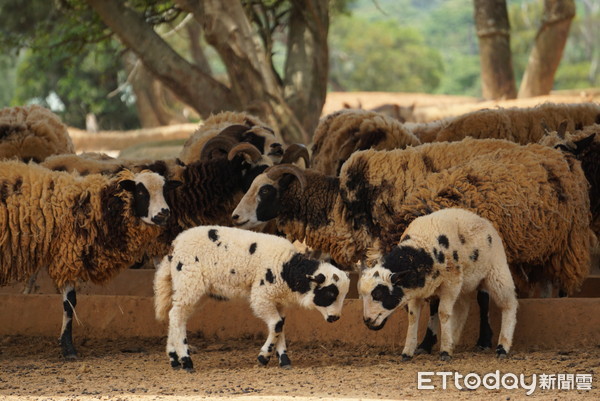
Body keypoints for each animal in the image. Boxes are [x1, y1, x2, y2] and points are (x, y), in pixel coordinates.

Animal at [0, 159, 182, 356]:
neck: (94, 206)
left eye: (165, 190)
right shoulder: (67, 255)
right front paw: (68, 348)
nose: (163, 213)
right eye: (141, 191)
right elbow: (70, 303)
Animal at [154, 225, 352, 372]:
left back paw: (174, 359)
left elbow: (281, 325)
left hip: (197, 290)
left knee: (177, 316)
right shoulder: (261, 296)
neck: (287, 269)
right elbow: (276, 324)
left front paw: (284, 360)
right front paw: (264, 357)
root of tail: (174, 246)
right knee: (177, 316)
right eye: (330, 294)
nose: (335, 318)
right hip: (189, 280)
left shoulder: (277, 300)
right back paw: (186, 361)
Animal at [358, 208, 516, 360]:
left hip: (496, 272)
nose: (367, 321)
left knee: (506, 304)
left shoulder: (451, 283)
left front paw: (445, 351)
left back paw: (501, 346)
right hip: (465, 283)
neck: (421, 248)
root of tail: (480, 218)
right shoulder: (417, 289)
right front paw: (408, 352)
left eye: (379, 294)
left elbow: (444, 313)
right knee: (464, 306)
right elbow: (413, 316)